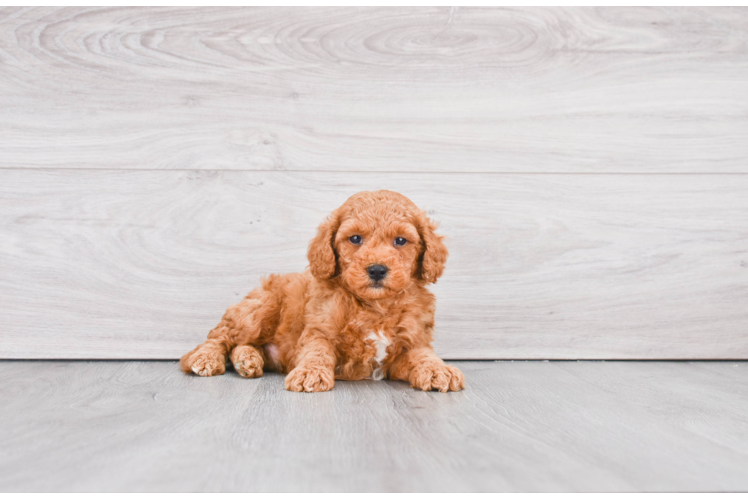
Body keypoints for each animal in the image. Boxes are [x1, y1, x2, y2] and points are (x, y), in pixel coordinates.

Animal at [180, 189, 462, 392]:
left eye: (401, 241)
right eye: (355, 238)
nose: (377, 270)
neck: (375, 305)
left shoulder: (411, 343)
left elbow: (423, 355)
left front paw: (439, 370)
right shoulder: (319, 330)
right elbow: (317, 352)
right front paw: (310, 373)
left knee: (243, 344)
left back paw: (247, 359)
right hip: (259, 309)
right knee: (220, 336)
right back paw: (205, 359)